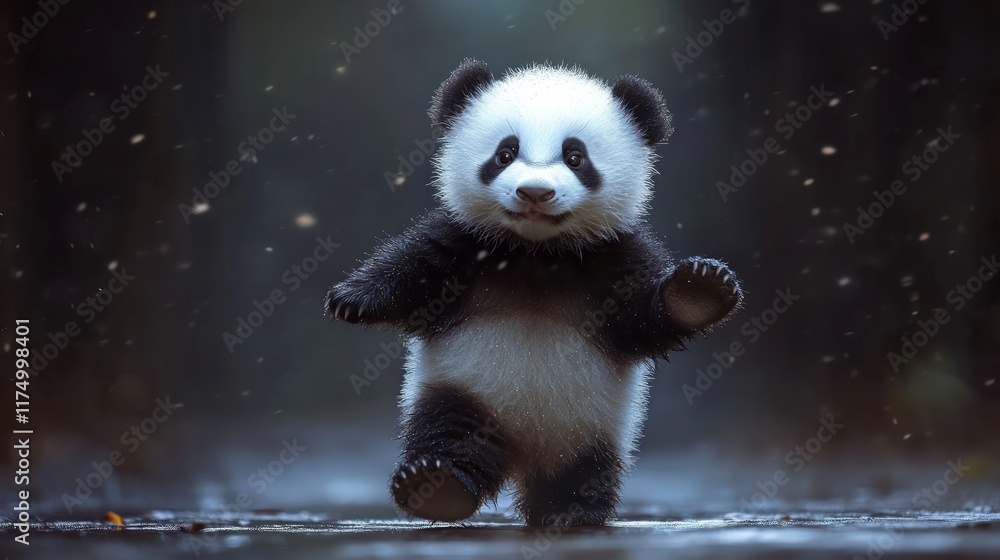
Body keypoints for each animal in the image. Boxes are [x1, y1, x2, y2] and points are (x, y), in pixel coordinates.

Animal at [325, 59, 743, 526]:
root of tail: (523, 457)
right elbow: (415, 266)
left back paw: (568, 511)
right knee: (448, 434)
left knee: (586, 469)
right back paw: (435, 486)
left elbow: (646, 314)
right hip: (464, 390)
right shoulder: (466, 242)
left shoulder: (612, 254)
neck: (537, 254)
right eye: (505, 153)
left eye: (575, 157)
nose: (535, 192)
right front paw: (351, 299)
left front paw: (700, 288)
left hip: (593, 426)